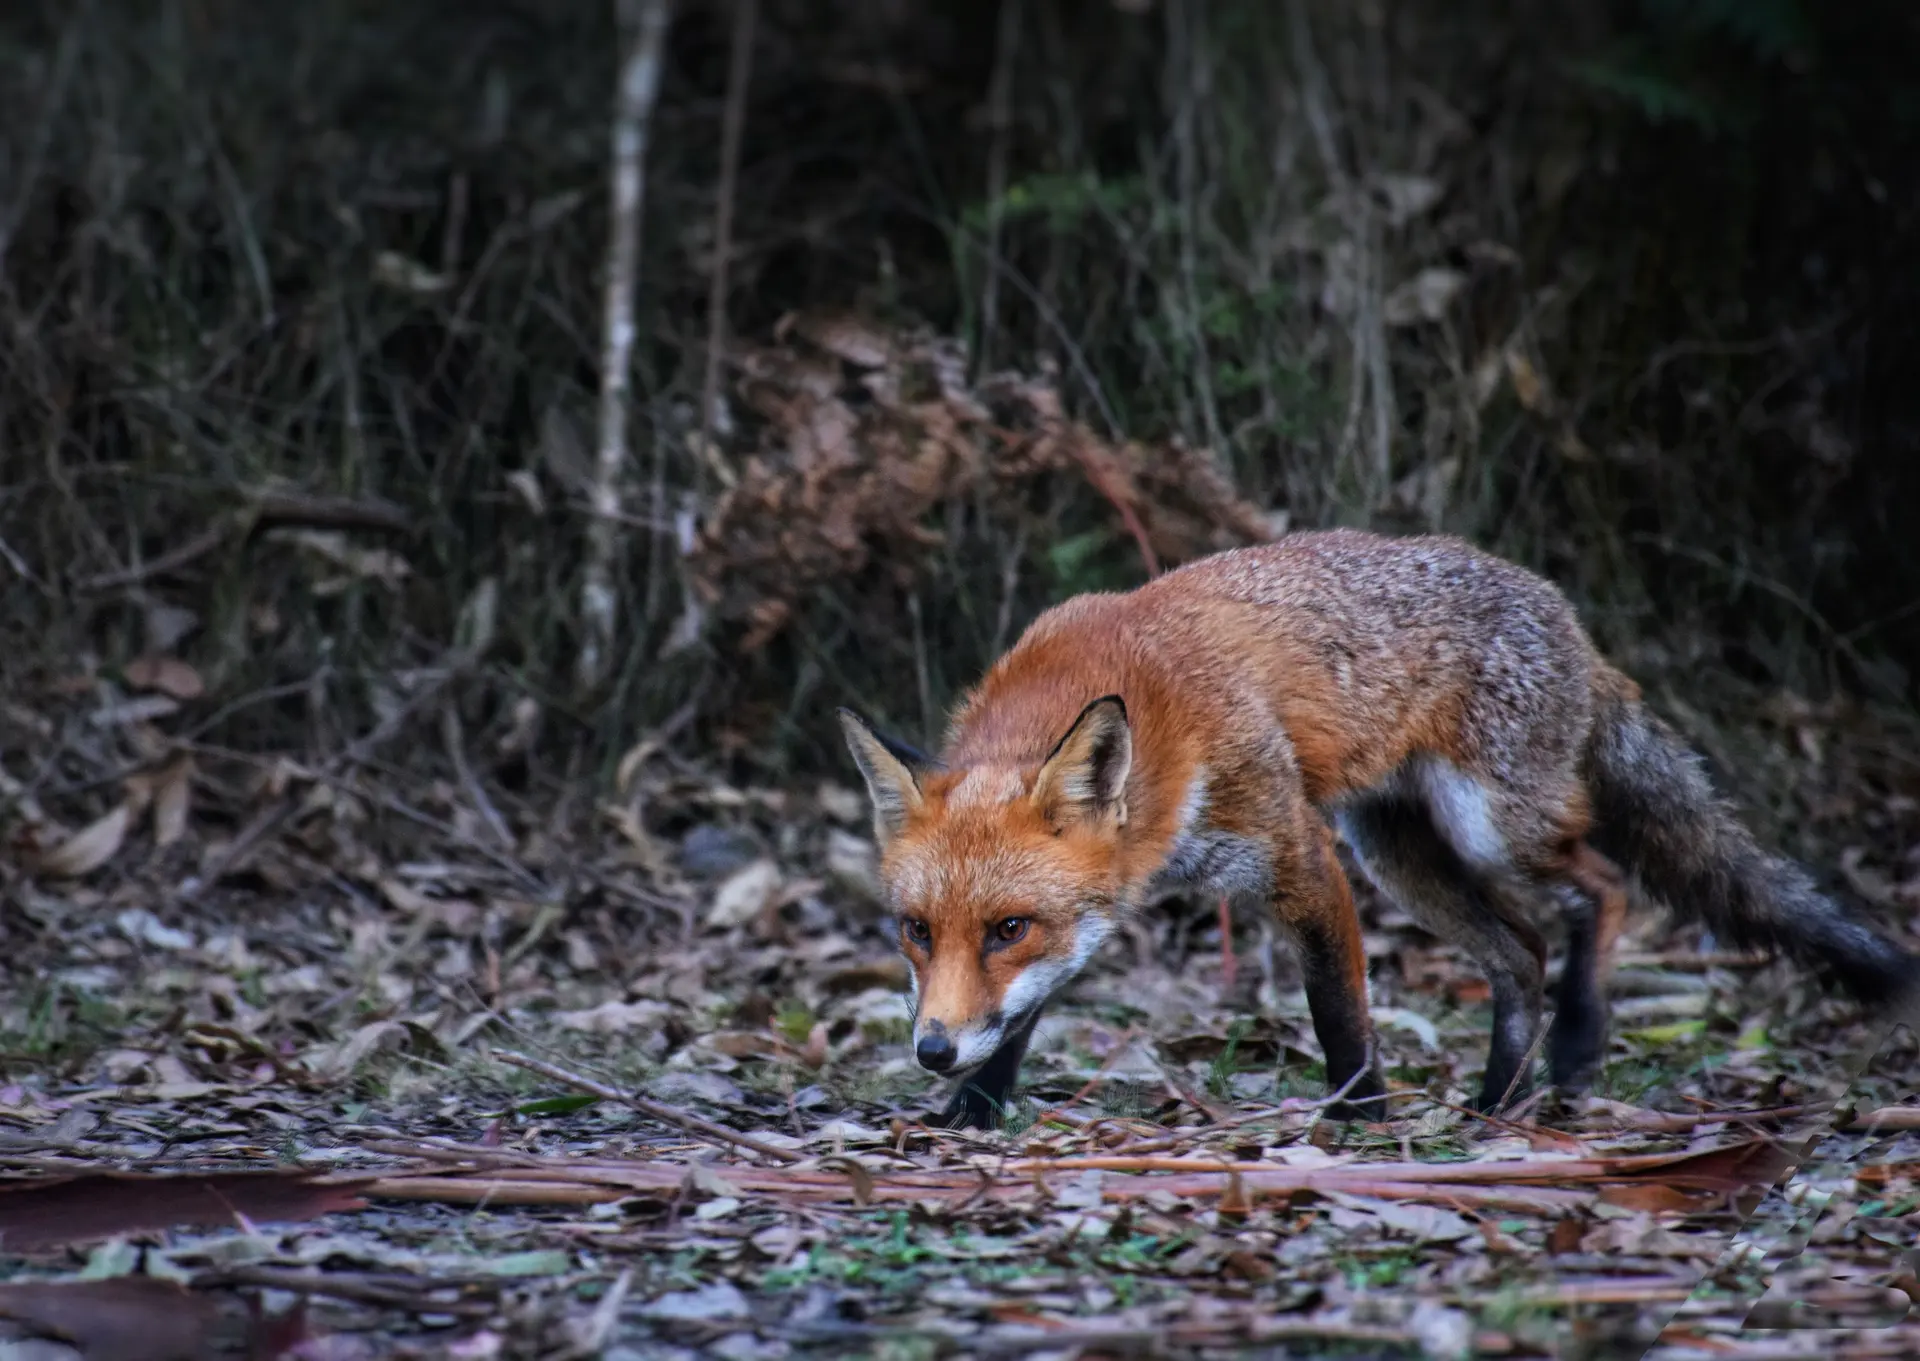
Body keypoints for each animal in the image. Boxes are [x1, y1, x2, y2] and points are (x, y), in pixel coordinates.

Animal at [838, 529, 1920, 1130]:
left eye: (1009, 926)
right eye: (916, 931)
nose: (931, 1050)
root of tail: (1578, 629)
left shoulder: (1298, 854)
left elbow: (1339, 1012)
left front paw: (1363, 1118)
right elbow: (1022, 1014)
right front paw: (975, 1109)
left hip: (1486, 828)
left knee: (1601, 887)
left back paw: (1574, 1041)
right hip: (1404, 856)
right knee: (1522, 950)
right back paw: (1497, 1100)